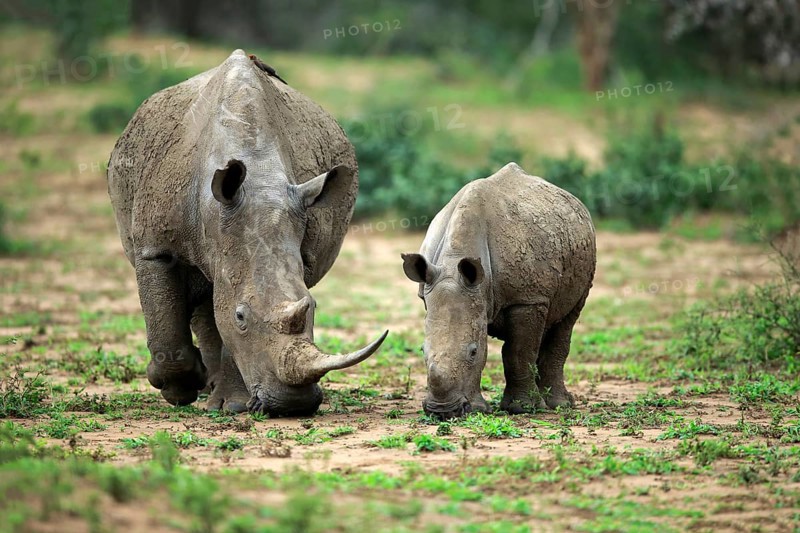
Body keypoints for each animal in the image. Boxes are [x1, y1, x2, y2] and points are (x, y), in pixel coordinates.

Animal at [108, 50, 387, 416]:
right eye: (241, 316)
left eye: (314, 307)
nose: (293, 405)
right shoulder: (155, 248)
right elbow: (174, 318)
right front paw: (180, 389)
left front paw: (234, 404)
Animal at [401, 163, 596, 419]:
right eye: (422, 350)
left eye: (473, 352)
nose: (443, 412)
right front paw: (480, 409)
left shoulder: (527, 299)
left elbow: (517, 352)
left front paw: (522, 408)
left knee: (568, 317)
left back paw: (558, 404)